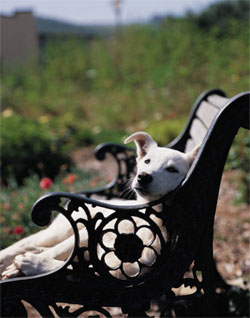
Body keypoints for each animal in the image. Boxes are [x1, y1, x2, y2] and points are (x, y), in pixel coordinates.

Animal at [0, 132, 199, 278]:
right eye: (147, 161)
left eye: (172, 169)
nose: (142, 176)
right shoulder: (85, 234)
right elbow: (60, 250)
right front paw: (30, 262)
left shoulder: (122, 271)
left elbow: (74, 269)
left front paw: (34, 264)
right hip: (60, 231)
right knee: (30, 242)